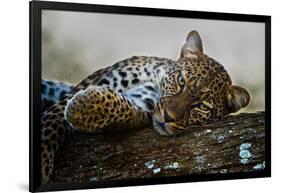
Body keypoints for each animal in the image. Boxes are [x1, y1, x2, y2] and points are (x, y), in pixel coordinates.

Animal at [40, 30, 249, 184]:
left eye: (203, 107)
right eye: (181, 81)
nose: (168, 117)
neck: (155, 82)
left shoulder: (140, 107)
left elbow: (120, 109)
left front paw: (82, 107)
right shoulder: (83, 86)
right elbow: (52, 124)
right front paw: (41, 166)